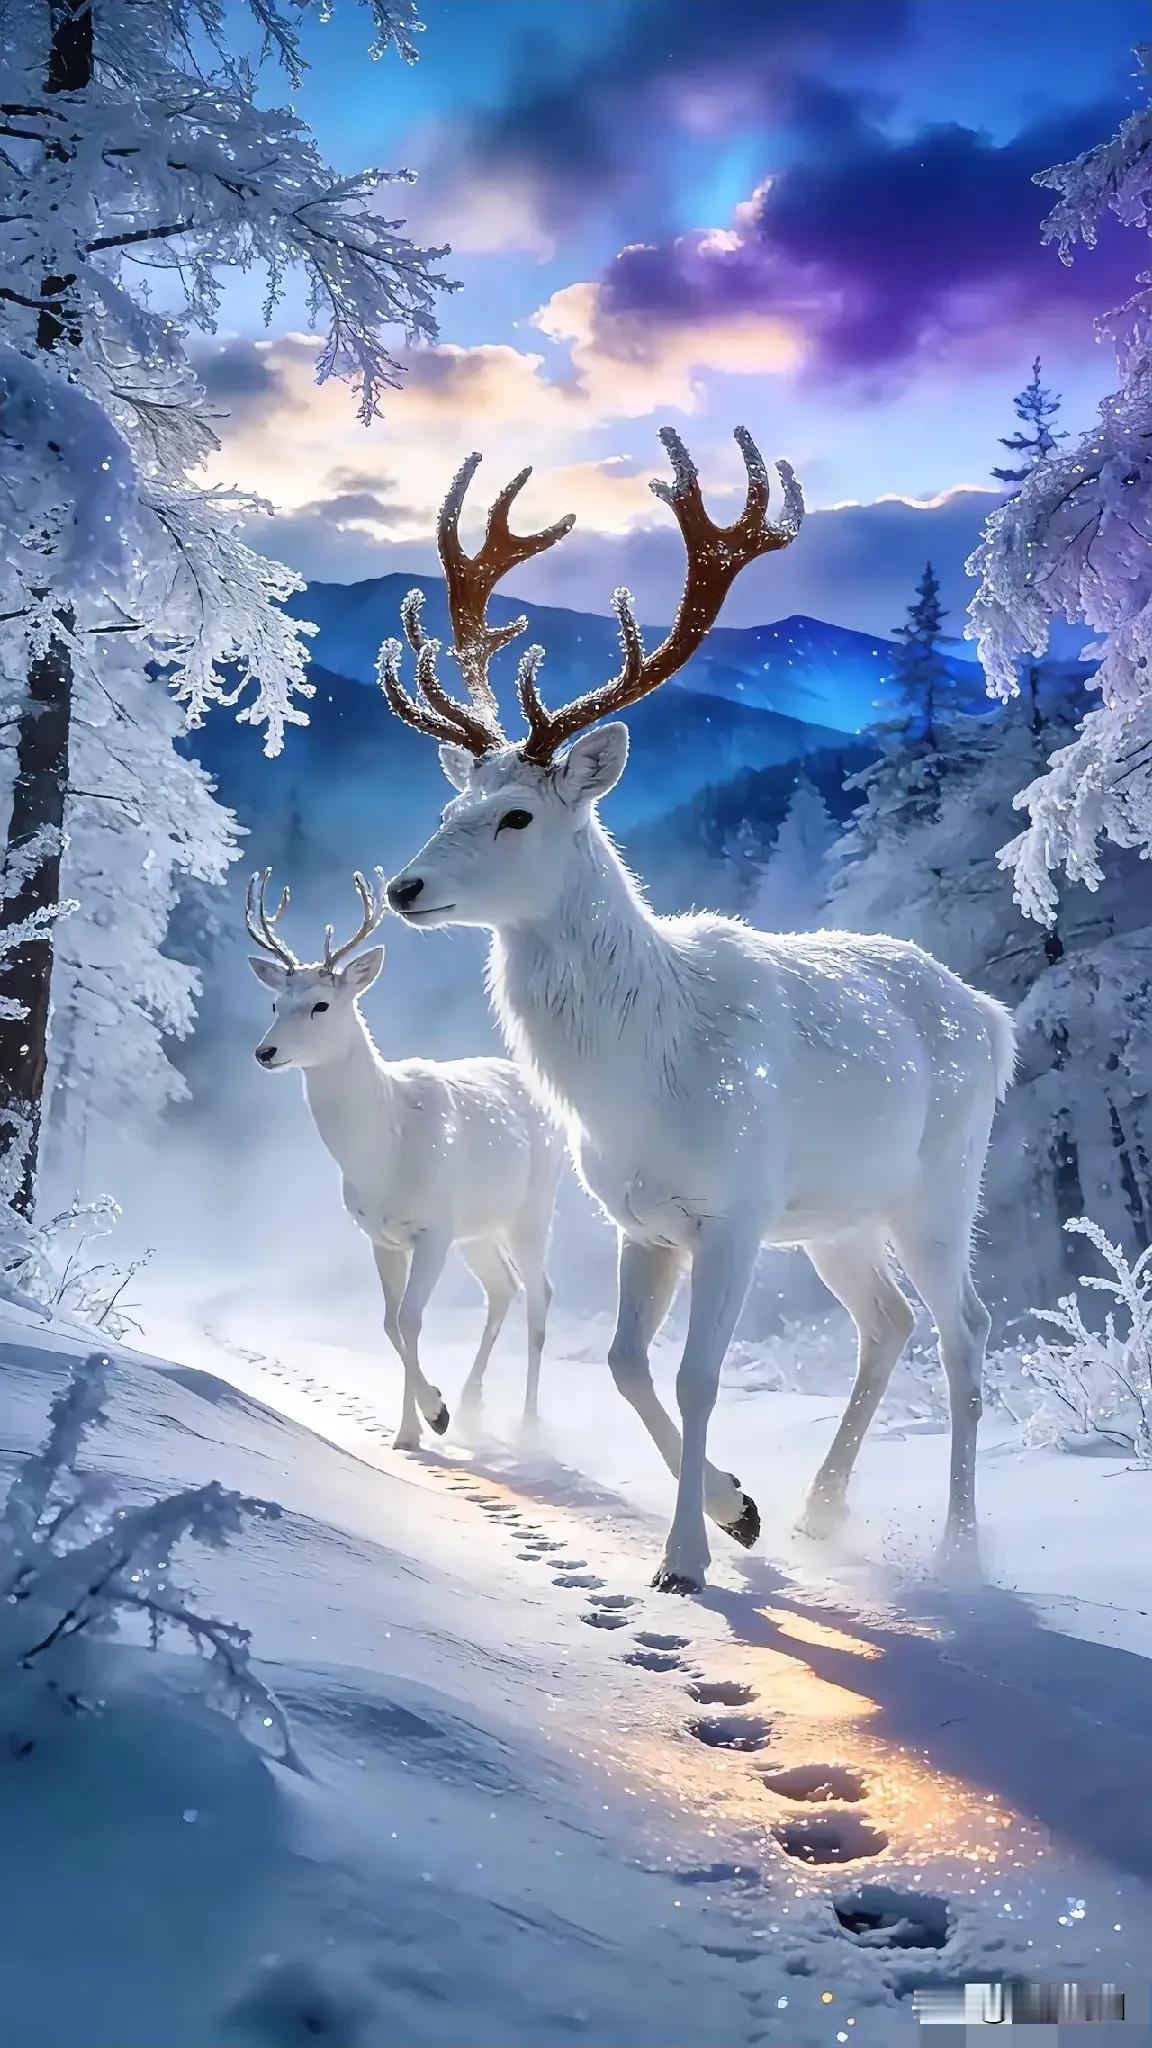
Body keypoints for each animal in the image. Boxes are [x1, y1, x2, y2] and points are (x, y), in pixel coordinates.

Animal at [245, 867, 563, 1449]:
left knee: (539, 1293)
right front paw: (412, 1427)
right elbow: (391, 1323)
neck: (383, 1152)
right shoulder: (381, 1235)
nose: (265, 1052)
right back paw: (471, 1402)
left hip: (533, 1207)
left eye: (322, 1004)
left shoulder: (433, 1226)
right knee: (502, 1287)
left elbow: (412, 1318)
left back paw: (527, 1424)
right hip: (477, 1228)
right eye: (275, 1005)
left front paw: (433, 1415)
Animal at [377, 427, 1016, 1593]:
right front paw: (737, 1510)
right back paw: (819, 1509)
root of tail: (992, 1018)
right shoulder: (645, 1218)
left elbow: (696, 1376)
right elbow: (629, 1364)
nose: (403, 888)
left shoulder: (738, 1206)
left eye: (517, 814)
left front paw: (684, 1559)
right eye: (450, 803)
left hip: (942, 1183)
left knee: (967, 1330)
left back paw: (957, 1547)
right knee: (888, 1320)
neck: (639, 1071)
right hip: (837, 1216)